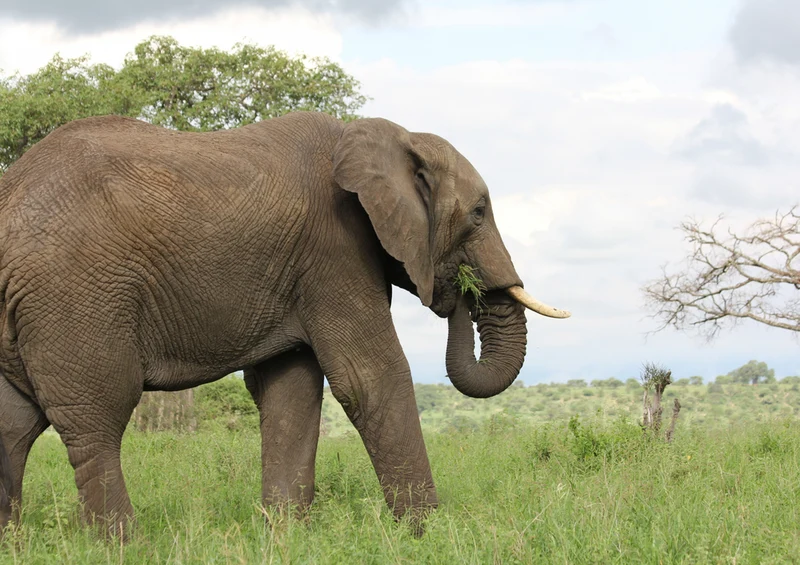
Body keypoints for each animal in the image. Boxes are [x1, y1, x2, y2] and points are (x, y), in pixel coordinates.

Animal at [0, 111, 569, 535]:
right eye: (478, 213)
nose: (459, 290)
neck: (387, 136)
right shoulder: (335, 247)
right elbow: (369, 376)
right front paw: (430, 535)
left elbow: (290, 389)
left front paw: (285, 535)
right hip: (73, 295)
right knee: (96, 418)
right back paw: (125, 544)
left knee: (14, 423)